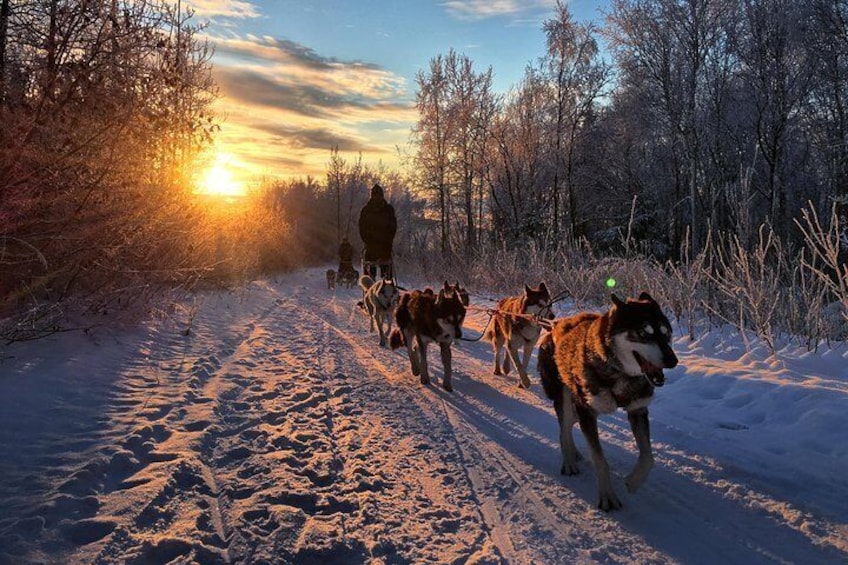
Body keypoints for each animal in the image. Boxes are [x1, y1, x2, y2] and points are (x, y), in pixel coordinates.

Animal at [540, 290, 680, 512]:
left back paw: (575, 453)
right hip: (565, 399)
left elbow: (648, 457)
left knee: (567, 427)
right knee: (564, 431)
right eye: (644, 333)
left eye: (666, 333)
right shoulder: (586, 411)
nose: (673, 361)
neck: (619, 372)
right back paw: (569, 462)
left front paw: (633, 482)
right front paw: (607, 495)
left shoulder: (638, 410)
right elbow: (599, 459)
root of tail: (551, 328)